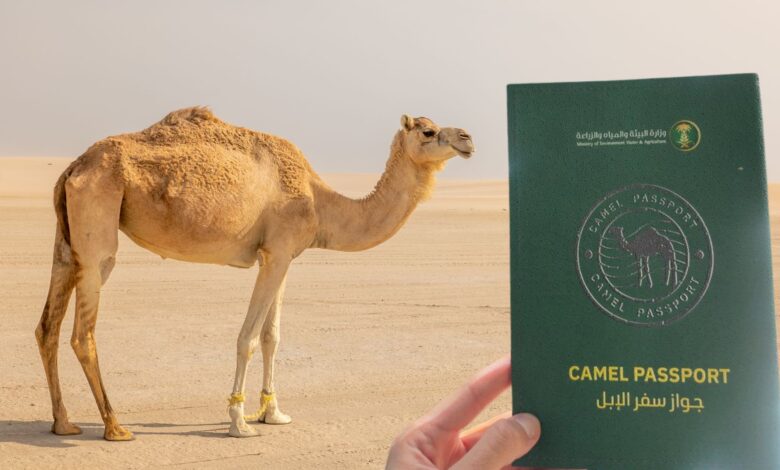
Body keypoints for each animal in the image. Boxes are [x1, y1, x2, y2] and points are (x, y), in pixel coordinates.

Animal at [34, 107, 474, 440]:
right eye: (428, 130)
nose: (467, 137)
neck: (320, 203)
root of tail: (75, 166)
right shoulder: (277, 251)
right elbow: (247, 337)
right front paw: (239, 422)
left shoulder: (279, 256)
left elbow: (271, 336)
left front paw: (273, 412)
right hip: (99, 218)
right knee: (83, 330)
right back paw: (115, 426)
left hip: (67, 236)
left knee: (48, 325)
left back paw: (64, 423)